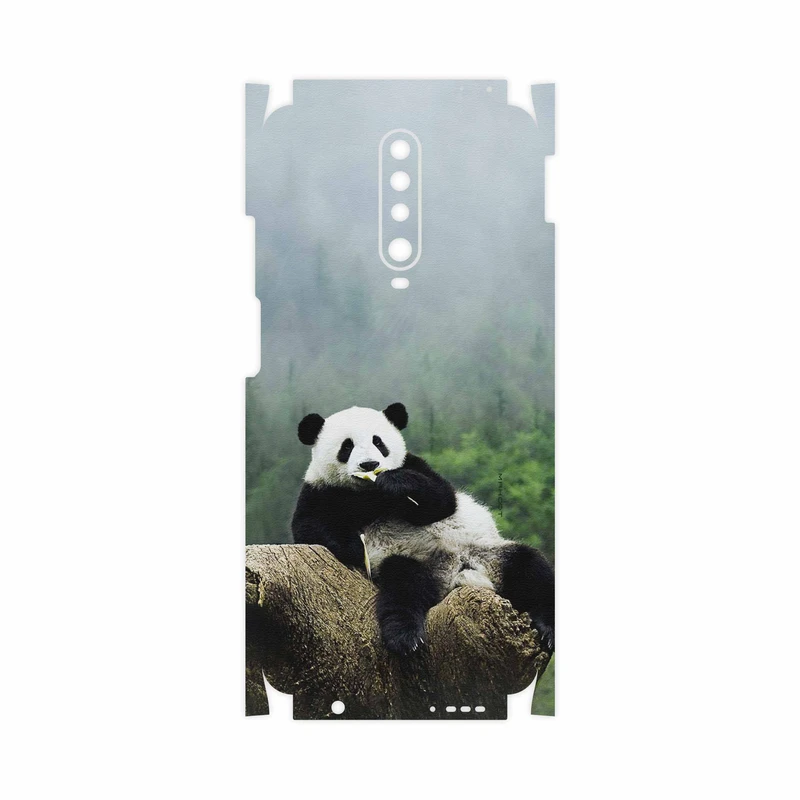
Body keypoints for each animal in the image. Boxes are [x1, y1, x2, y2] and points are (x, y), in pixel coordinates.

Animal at [292, 403, 555, 656]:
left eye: (379, 442)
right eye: (347, 446)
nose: (370, 464)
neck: (368, 493)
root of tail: (456, 574)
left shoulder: (415, 465)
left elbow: (442, 500)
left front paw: (395, 483)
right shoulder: (320, 491)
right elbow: (309, 527)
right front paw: (355, 547)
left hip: (489, 553)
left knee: (531, 569)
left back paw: (548, 629)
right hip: (411, 561)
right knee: (404, 587)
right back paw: (405, 637)